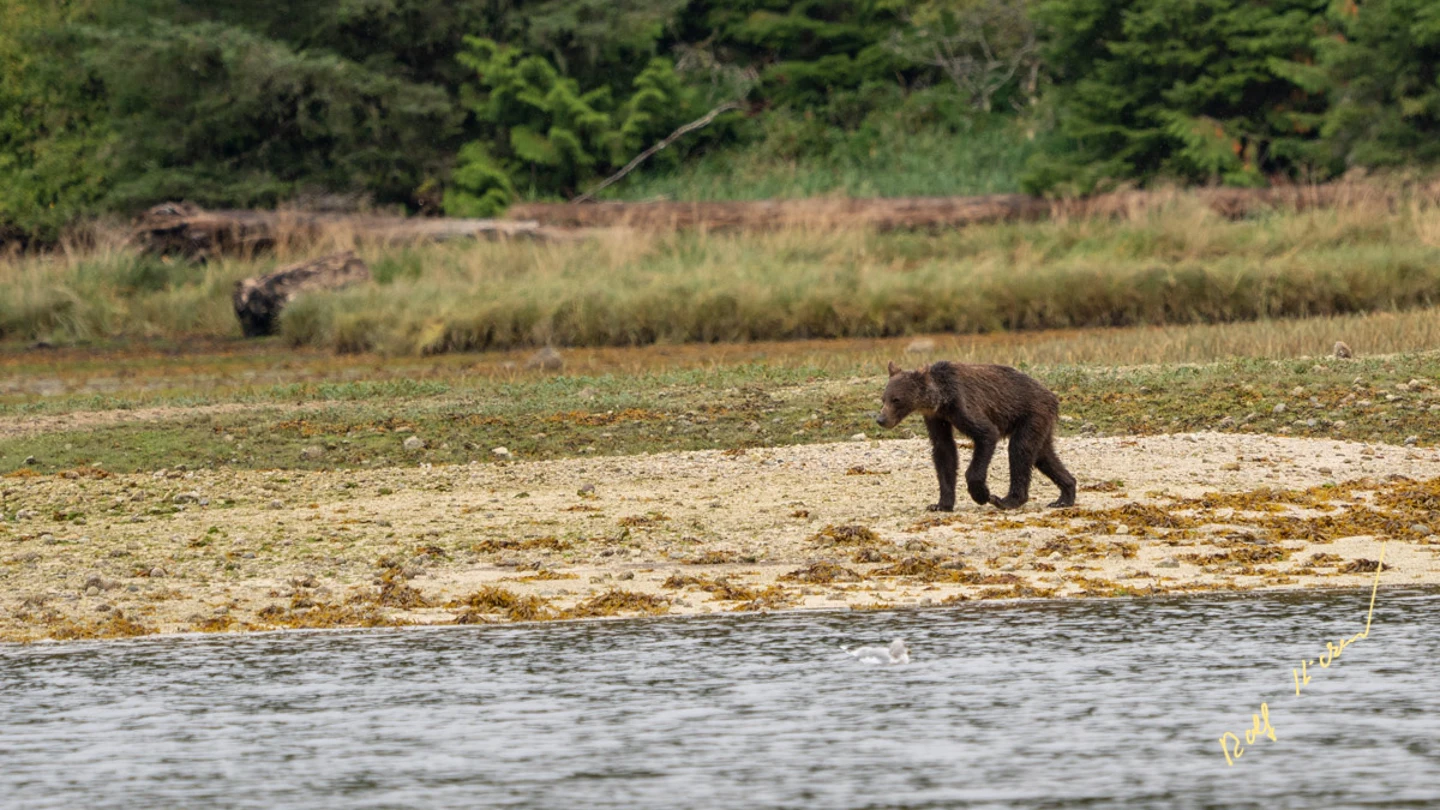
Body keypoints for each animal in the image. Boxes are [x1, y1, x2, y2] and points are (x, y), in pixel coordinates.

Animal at [875, 360, 1077, 511]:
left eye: (896, 399)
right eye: (883, 399)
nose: (881, 419)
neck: (941, 399)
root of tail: (1052, 396)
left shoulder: (963, 404)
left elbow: (986, 434)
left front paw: (981, 494)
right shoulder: (936, 417)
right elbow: (944, 450)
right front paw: (940, 504)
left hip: (1031, 413)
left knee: (1020, 449)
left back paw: (1006, 500)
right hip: (1040, 422)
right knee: (1043, 455)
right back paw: (1064, 496)